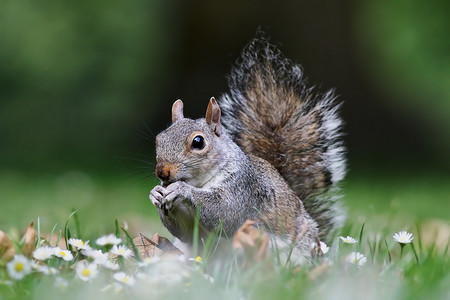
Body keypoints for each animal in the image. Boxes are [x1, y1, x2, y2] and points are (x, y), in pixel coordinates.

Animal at [149, 35, 346, 262]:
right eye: (159, 139)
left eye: (198, 142)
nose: (162, 172)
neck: (200, 182)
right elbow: (185, 232)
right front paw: (155, 193)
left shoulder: (244, 189)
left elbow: (224, 213)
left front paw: (181, 190)